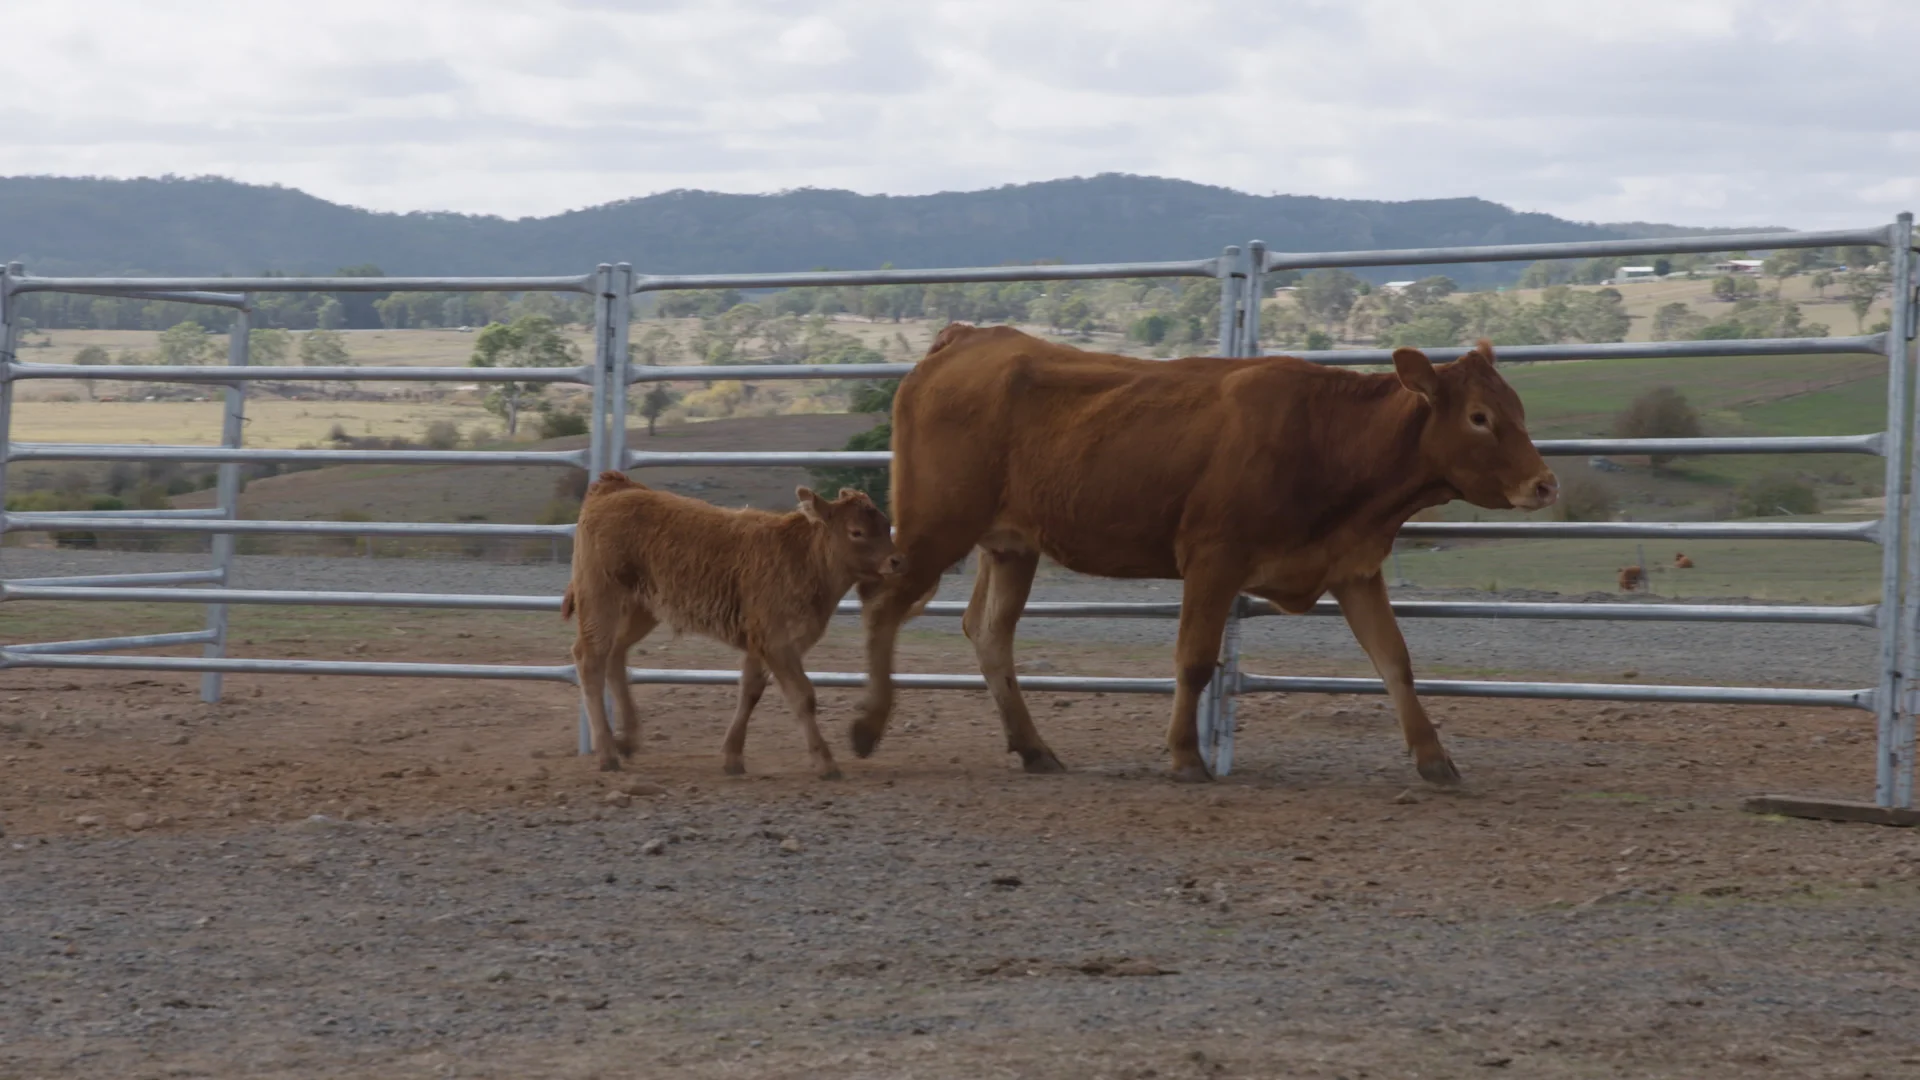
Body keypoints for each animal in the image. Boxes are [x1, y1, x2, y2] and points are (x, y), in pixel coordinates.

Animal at [562, 473, 901, 777]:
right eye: (856, 531)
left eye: (886, 524)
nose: (897, 561)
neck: (802, 558)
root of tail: (614, 487)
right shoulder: (778, 643)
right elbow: (803, 697)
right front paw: (826, 763)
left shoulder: (760, 644)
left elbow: (749, 691)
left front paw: (733, 757)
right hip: (600, 598)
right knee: (590, 659)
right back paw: (607, 753)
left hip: (641, 609)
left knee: (615, 655)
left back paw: (628, 740)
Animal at [850, 325, 1557, 785]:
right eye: (1479, 417)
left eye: (1518, 409)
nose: (1545, 483)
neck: (1327, 435)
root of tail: (965, 339)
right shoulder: (1213, 561)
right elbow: (1193, 661)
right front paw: (1186, 756)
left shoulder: (1353, 567)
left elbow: (1395, 662)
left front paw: (1434, 757)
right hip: (935, 527)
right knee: (883, 605)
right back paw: (866, 725)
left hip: (1010, 546)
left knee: (989, 632)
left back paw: (1033, 749)